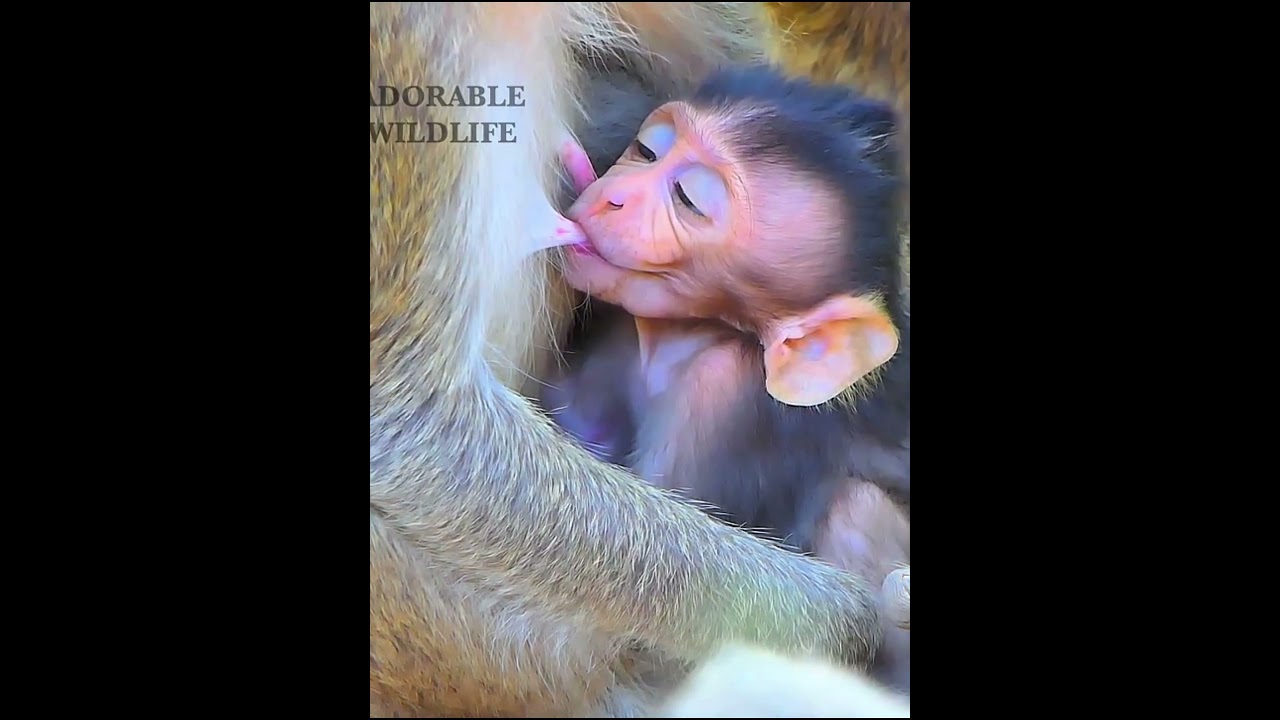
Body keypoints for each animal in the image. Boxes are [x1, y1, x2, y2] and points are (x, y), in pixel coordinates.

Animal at [369, 5, 902, 716]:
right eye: (648, 151)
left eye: (689, 199)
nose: (611, 197)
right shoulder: (410, 39)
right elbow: (409, 423)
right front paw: (849, 624)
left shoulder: (717, 387)